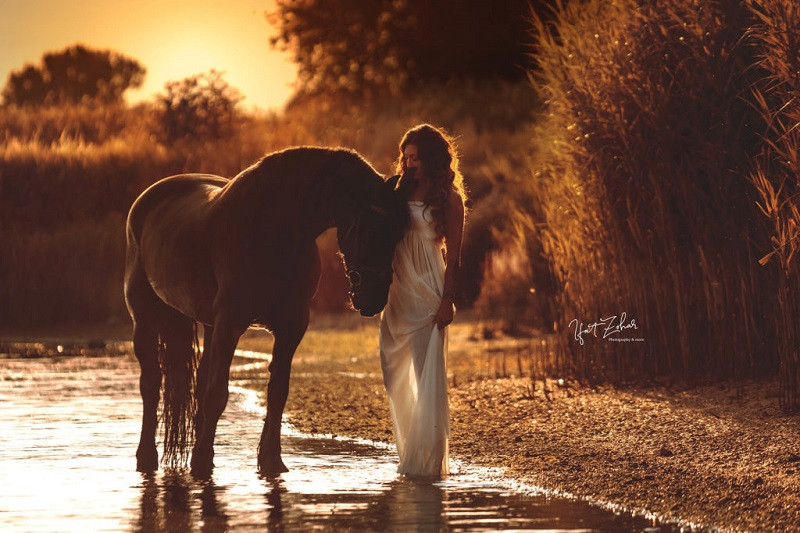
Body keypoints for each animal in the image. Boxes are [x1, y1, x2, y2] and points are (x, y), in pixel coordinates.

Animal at [124, 146, 407, 477]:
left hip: (208, 325)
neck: (274, 229)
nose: (374, 298)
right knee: (151, 384)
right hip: (145, 320)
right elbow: (217, 394)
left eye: (399, 233)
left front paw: (271, 460)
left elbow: (277, 393)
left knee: (197, 381)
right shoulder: (231, 324)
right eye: (371, 229)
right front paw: (203, 462)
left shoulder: (291, 327)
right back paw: (146, 456)